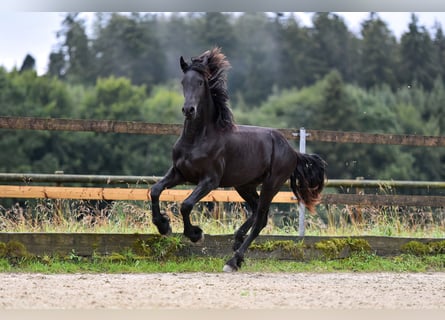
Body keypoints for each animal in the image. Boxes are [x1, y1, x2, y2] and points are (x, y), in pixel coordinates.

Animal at [150, 48, 326, 272]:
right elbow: (155, 190)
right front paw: (163, 226)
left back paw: (233, 261)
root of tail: (293, 152)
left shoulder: (210, 180)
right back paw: (236, 241)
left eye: (201, 82)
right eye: (183, 82)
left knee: (261, 219)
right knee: (256, 210)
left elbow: (186, 204)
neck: (197, 138)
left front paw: (196, 234)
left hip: (271, 184)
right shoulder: (179, 173)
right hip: (244, 185)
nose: (189, 110)